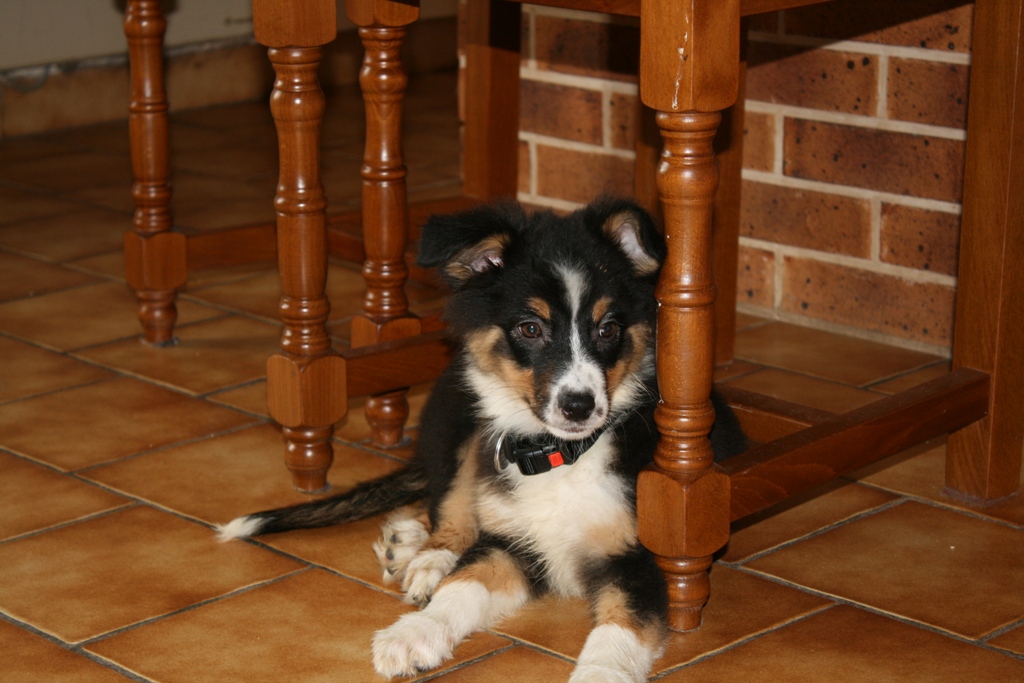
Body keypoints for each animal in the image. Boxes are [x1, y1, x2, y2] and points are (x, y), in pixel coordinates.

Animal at [218, 198, 746, 682]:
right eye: (530, 328)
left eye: (609, 328)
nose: (579, 406)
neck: (563, 455)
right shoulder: (509, 543)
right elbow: (463, 585)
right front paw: (415, 633)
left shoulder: (639, 559)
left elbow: (617, 633)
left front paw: (599, 673)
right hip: (461, 427)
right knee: (448, 508)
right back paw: (423, 554)